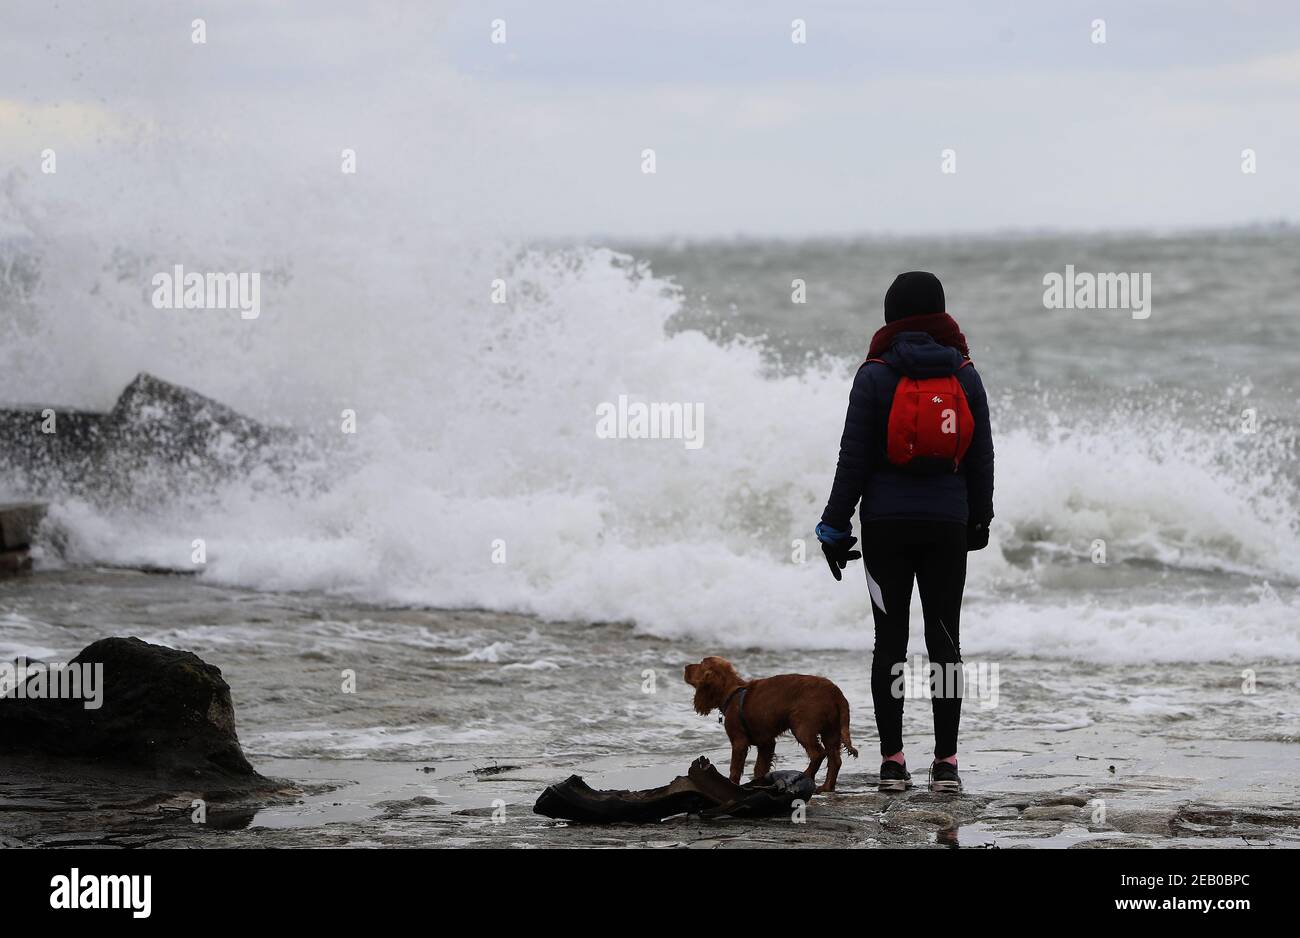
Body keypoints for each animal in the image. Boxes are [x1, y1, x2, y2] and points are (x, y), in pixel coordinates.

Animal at [686, 654, 857, 795]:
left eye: (700, 664)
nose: (685, 667)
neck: (732, 692)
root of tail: (835, 692)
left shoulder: (739, 741)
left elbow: (735, 768)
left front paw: (732, 785)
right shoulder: (766, 743)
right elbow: (759, 767)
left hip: (802, 727)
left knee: (818, 754)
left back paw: (805, 776)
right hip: (831, 731)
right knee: (835, 760)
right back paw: (826, 787)